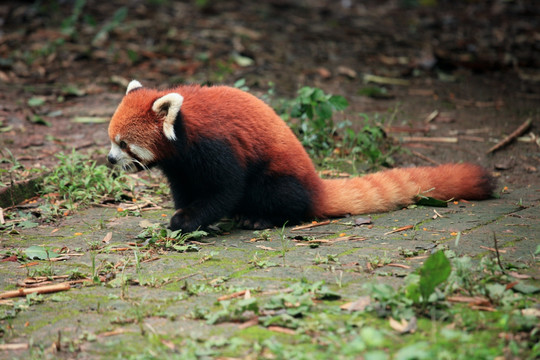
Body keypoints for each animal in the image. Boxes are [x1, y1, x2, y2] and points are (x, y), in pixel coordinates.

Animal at [107, 80, 496, 232]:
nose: (110, 160)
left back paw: (259, 218)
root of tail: (315, 184)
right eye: (112, 141)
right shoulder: (181, 166)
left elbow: (225, 189)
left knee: (281, 198)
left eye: (123, 144)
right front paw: (186, 214)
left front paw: (188, 220)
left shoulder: (218, 147)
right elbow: (186, 189)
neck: (185, 132)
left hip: (279, 177)